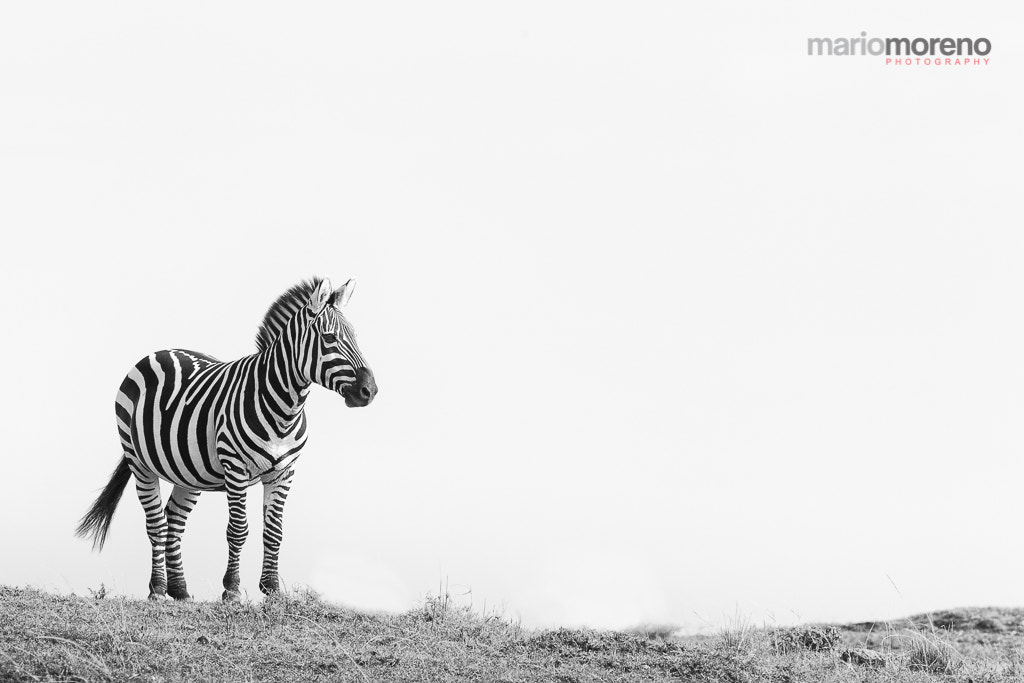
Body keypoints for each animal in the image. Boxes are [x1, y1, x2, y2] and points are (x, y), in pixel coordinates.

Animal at [76, 277, 377, 601]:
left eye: (356, 336)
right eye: (329, 338)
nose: (369, 391)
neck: (285, 407)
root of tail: (161, 351)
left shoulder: (285, 472)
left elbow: (274, 531)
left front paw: (272, 590)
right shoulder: (236, 467)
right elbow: (238, 529)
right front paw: (231, 590)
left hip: (188, 473)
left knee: (174, 522)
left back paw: (180, 591)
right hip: (138, 461)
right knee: (156, 524)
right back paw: (157, 589)